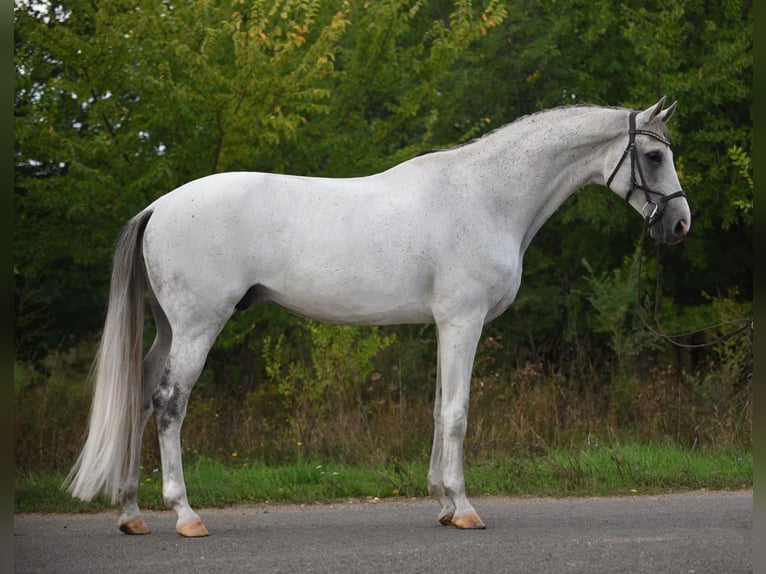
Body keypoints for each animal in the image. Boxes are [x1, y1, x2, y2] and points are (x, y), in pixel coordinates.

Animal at [64, 98, 688, 536]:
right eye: (654, 155)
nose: (678, 224)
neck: (485, 195)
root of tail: (159, 206)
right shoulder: (463, 321)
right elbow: (457, 413)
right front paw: (464, 507)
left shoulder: (443, 325)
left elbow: (438, 410)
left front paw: (442, 503)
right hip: (197, 327)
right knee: (170, 403)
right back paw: (185, 515)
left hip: (169, 329)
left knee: (141, 396)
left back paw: (131, 514)